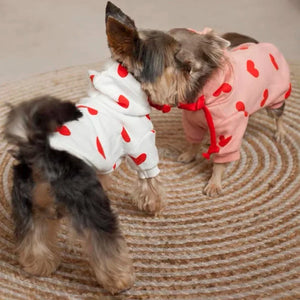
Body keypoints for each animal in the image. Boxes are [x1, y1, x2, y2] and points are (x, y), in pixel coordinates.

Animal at [103, 2, 290, 197]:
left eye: (185, 61)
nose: (181, 71)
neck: (200, 93)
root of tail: (258, 42)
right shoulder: (193, 121)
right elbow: (194, 141)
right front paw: (189, 154)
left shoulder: (229, 131)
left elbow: (220, 161)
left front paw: (214, 182)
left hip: (275, 99)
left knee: (279, 116)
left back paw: (281, 132)